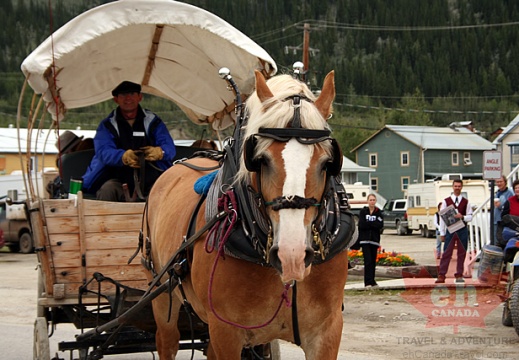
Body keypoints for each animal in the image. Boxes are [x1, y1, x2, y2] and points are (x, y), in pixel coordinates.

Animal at [145, 69, 358, 358]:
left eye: (327, 162)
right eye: (261, 159)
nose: (292, 255)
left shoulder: (327, 331)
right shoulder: (226, 332)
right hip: (162, 299)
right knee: (167, 340)